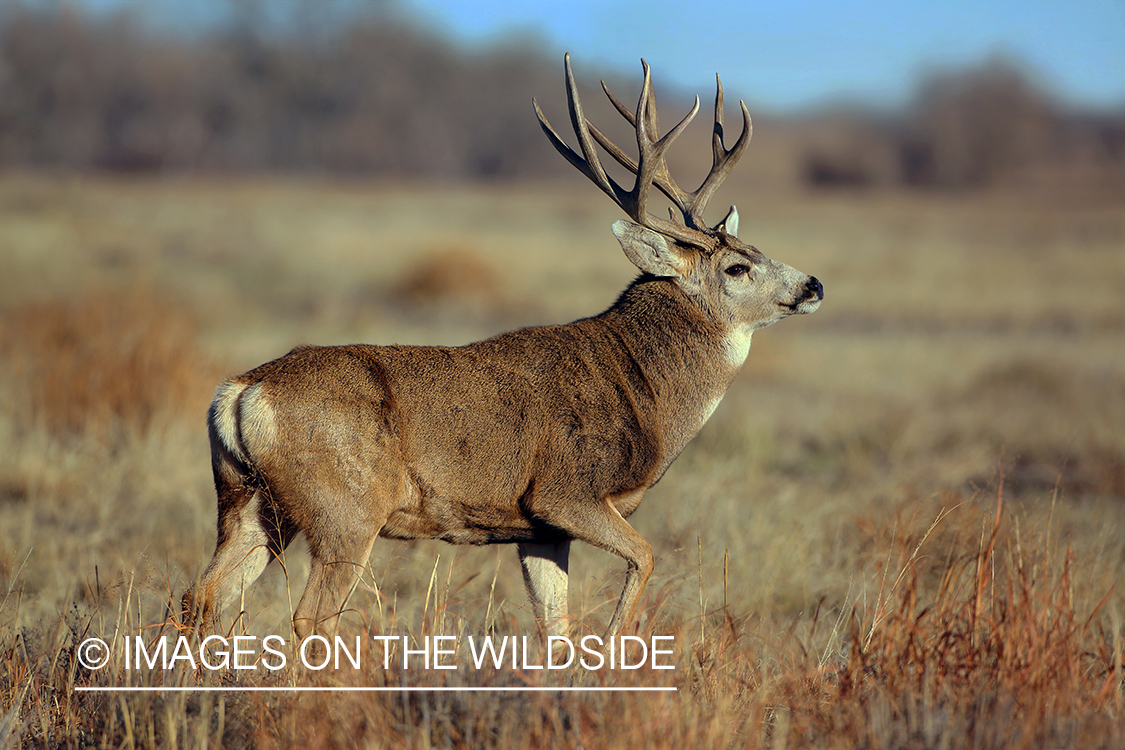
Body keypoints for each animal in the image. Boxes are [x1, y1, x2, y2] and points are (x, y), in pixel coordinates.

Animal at [180, 54, 823, 638]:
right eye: (738, 267)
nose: (813, 285)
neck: (645, 390)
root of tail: (242, 393)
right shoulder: (565, 492)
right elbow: (645, 558)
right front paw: (614, 649)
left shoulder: (539, 531)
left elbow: (555, 628)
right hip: (345, 509)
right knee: (308, 617)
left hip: (249, 503)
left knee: (199, 598)